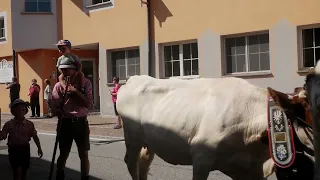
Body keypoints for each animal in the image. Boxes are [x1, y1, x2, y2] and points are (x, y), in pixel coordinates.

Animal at [116, 75, 314, 180]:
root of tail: (135, 78)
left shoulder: (250, 169)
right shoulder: (201, 156)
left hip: (149, 142)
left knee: (143, 163)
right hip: (132, 137)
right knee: (131, 163)